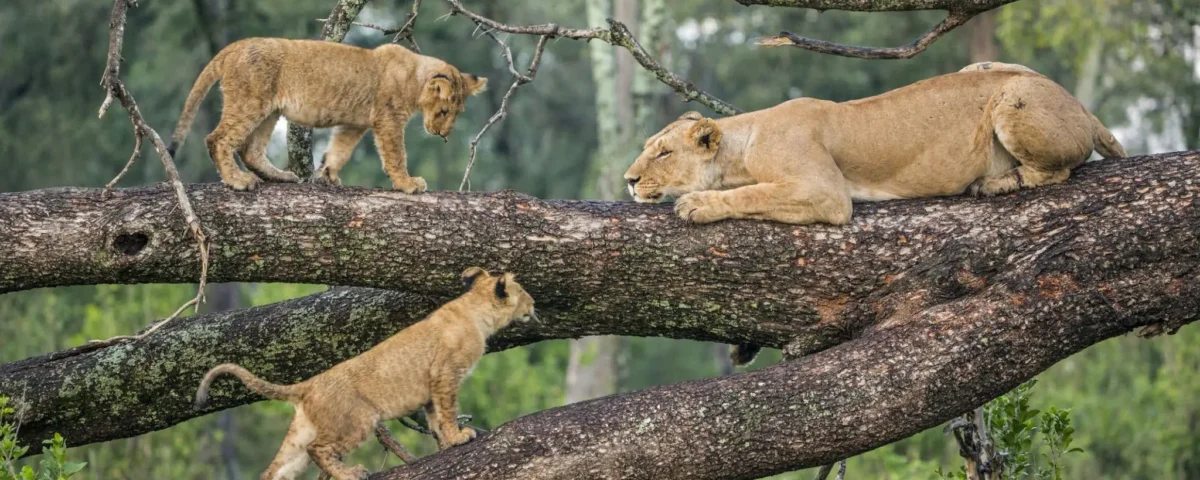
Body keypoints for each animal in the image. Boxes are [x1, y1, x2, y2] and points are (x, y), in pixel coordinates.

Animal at [168, 37, 488, 192]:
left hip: (269, 110)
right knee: (217, 139)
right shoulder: (388, 120)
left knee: (251, 150)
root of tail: (236, 45)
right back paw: (238, 180)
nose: (443, 135)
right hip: (250, 102)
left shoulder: (355, 124)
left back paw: (281, 176)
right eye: (444, 111)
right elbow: (396, 155)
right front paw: (408, 184)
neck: (415, 76)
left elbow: (339, 150)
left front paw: (328, 176)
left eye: (457, 114)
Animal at [194, 267, 536, 480]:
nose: (534, 304)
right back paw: (350, 473)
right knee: (318, 449)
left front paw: (446, 444)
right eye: (523, 291)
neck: (475, 310)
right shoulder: (445, 374)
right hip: (358, 420)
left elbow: (435, 419)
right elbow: (448, 412)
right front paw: (459, 437)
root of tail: (309, 384)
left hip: (301, 432)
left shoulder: (431, 388)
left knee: (276, 469)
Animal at [624, 62, 1125, 365]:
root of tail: (1082, 108)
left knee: (1055, 170)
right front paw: (739, 348)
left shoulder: (824, 191)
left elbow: (750, 195)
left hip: (1012, 96)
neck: (741, 146)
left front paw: (696, 204)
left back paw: (994, 182)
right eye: (647, 147)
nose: (629, 179)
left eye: (663, 152)